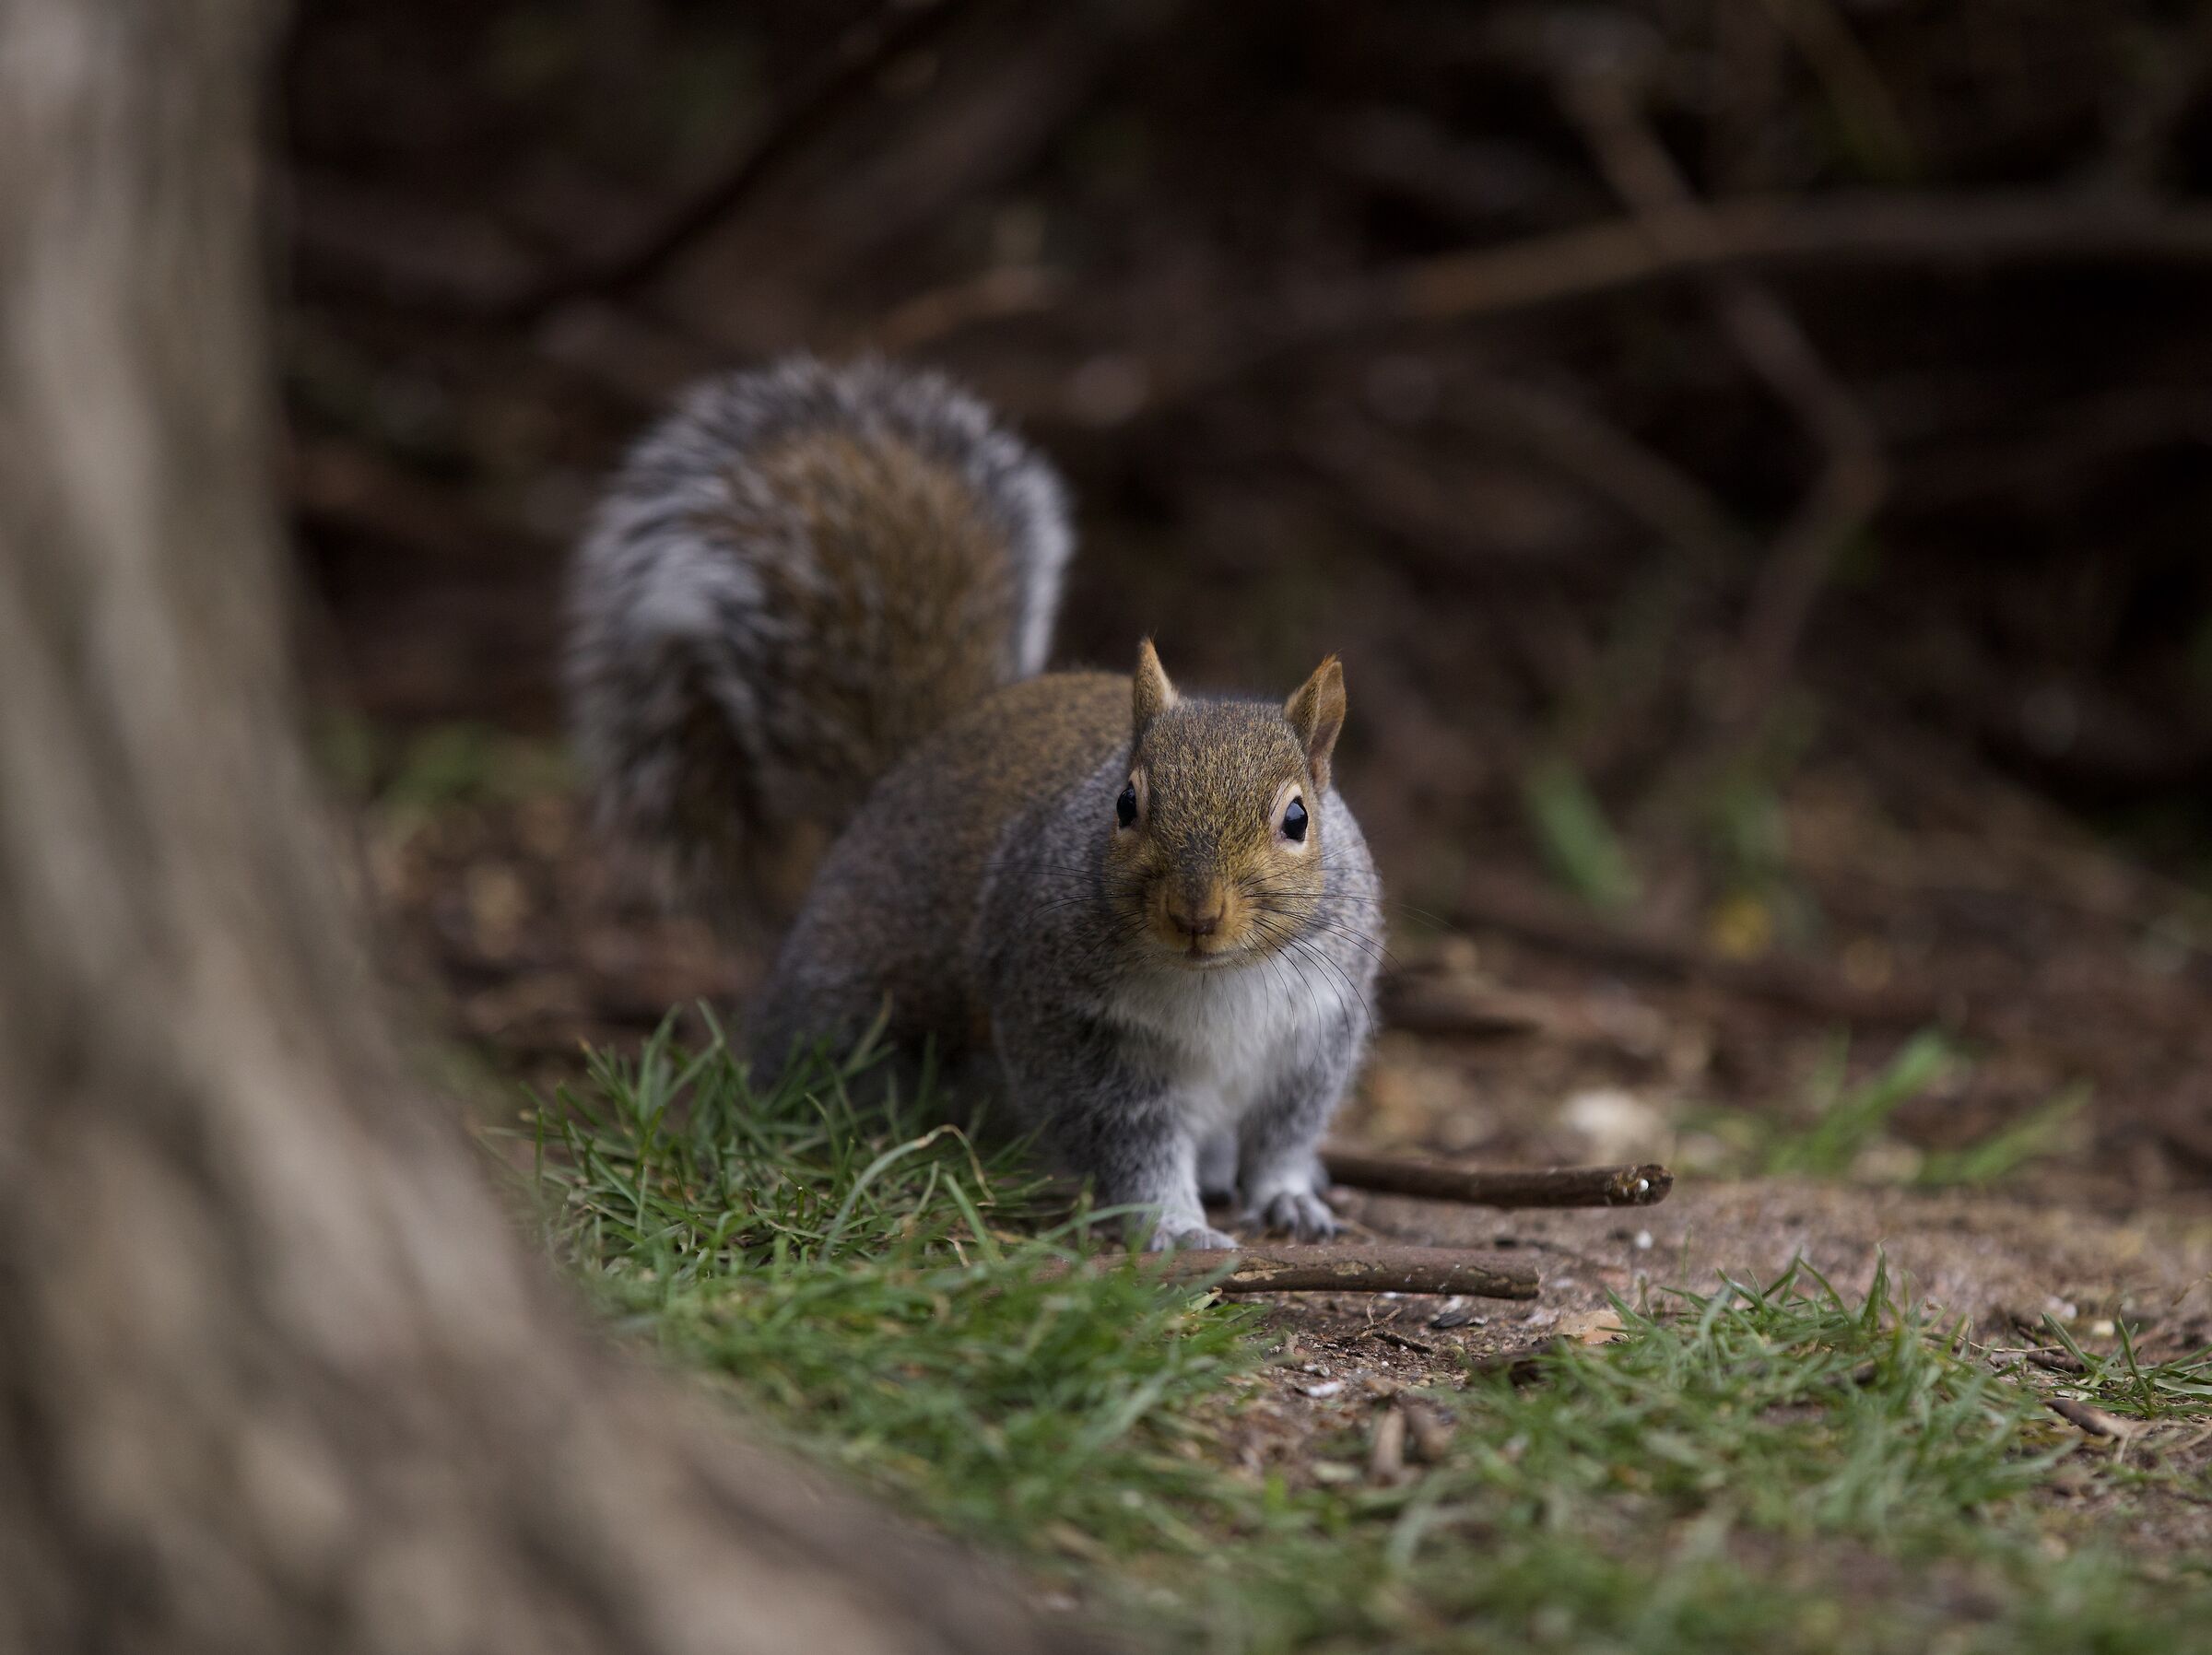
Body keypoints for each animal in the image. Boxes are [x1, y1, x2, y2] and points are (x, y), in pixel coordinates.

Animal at [568, 356, 1383, 1250]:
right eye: (1125, 805)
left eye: (1298, 819)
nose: (1195, 914)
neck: (1219, 978)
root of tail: (909, 767)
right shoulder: (1067, 1022)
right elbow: (1128, 1138)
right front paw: (1170, 1224)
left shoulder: (1318, 1034)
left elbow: (1284, 1133)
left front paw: (1289, 1195)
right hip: (853, 1000)